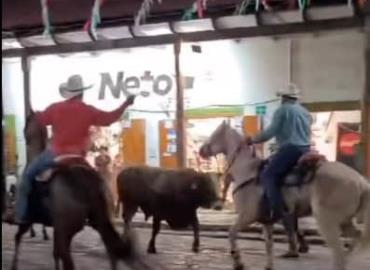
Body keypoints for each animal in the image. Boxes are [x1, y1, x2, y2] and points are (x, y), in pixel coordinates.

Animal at [11, 110, 163, 270]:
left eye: (27, 123)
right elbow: (54, 252)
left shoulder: (35, 222)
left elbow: (21, 238)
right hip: (97, 223)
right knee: (111, 250)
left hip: (67, 230)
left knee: (70, 259)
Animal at [199, 122, 370, 270]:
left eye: (215, 134)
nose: (201, 150)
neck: (246, 170)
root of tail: (361, 182)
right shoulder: (266, 222)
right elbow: (269, 245)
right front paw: (268, 266)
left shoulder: (247, 216)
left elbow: (232, 233)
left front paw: (238, 262)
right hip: (344, 221)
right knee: (355, 239)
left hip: (327, 221)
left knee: (339, 253)